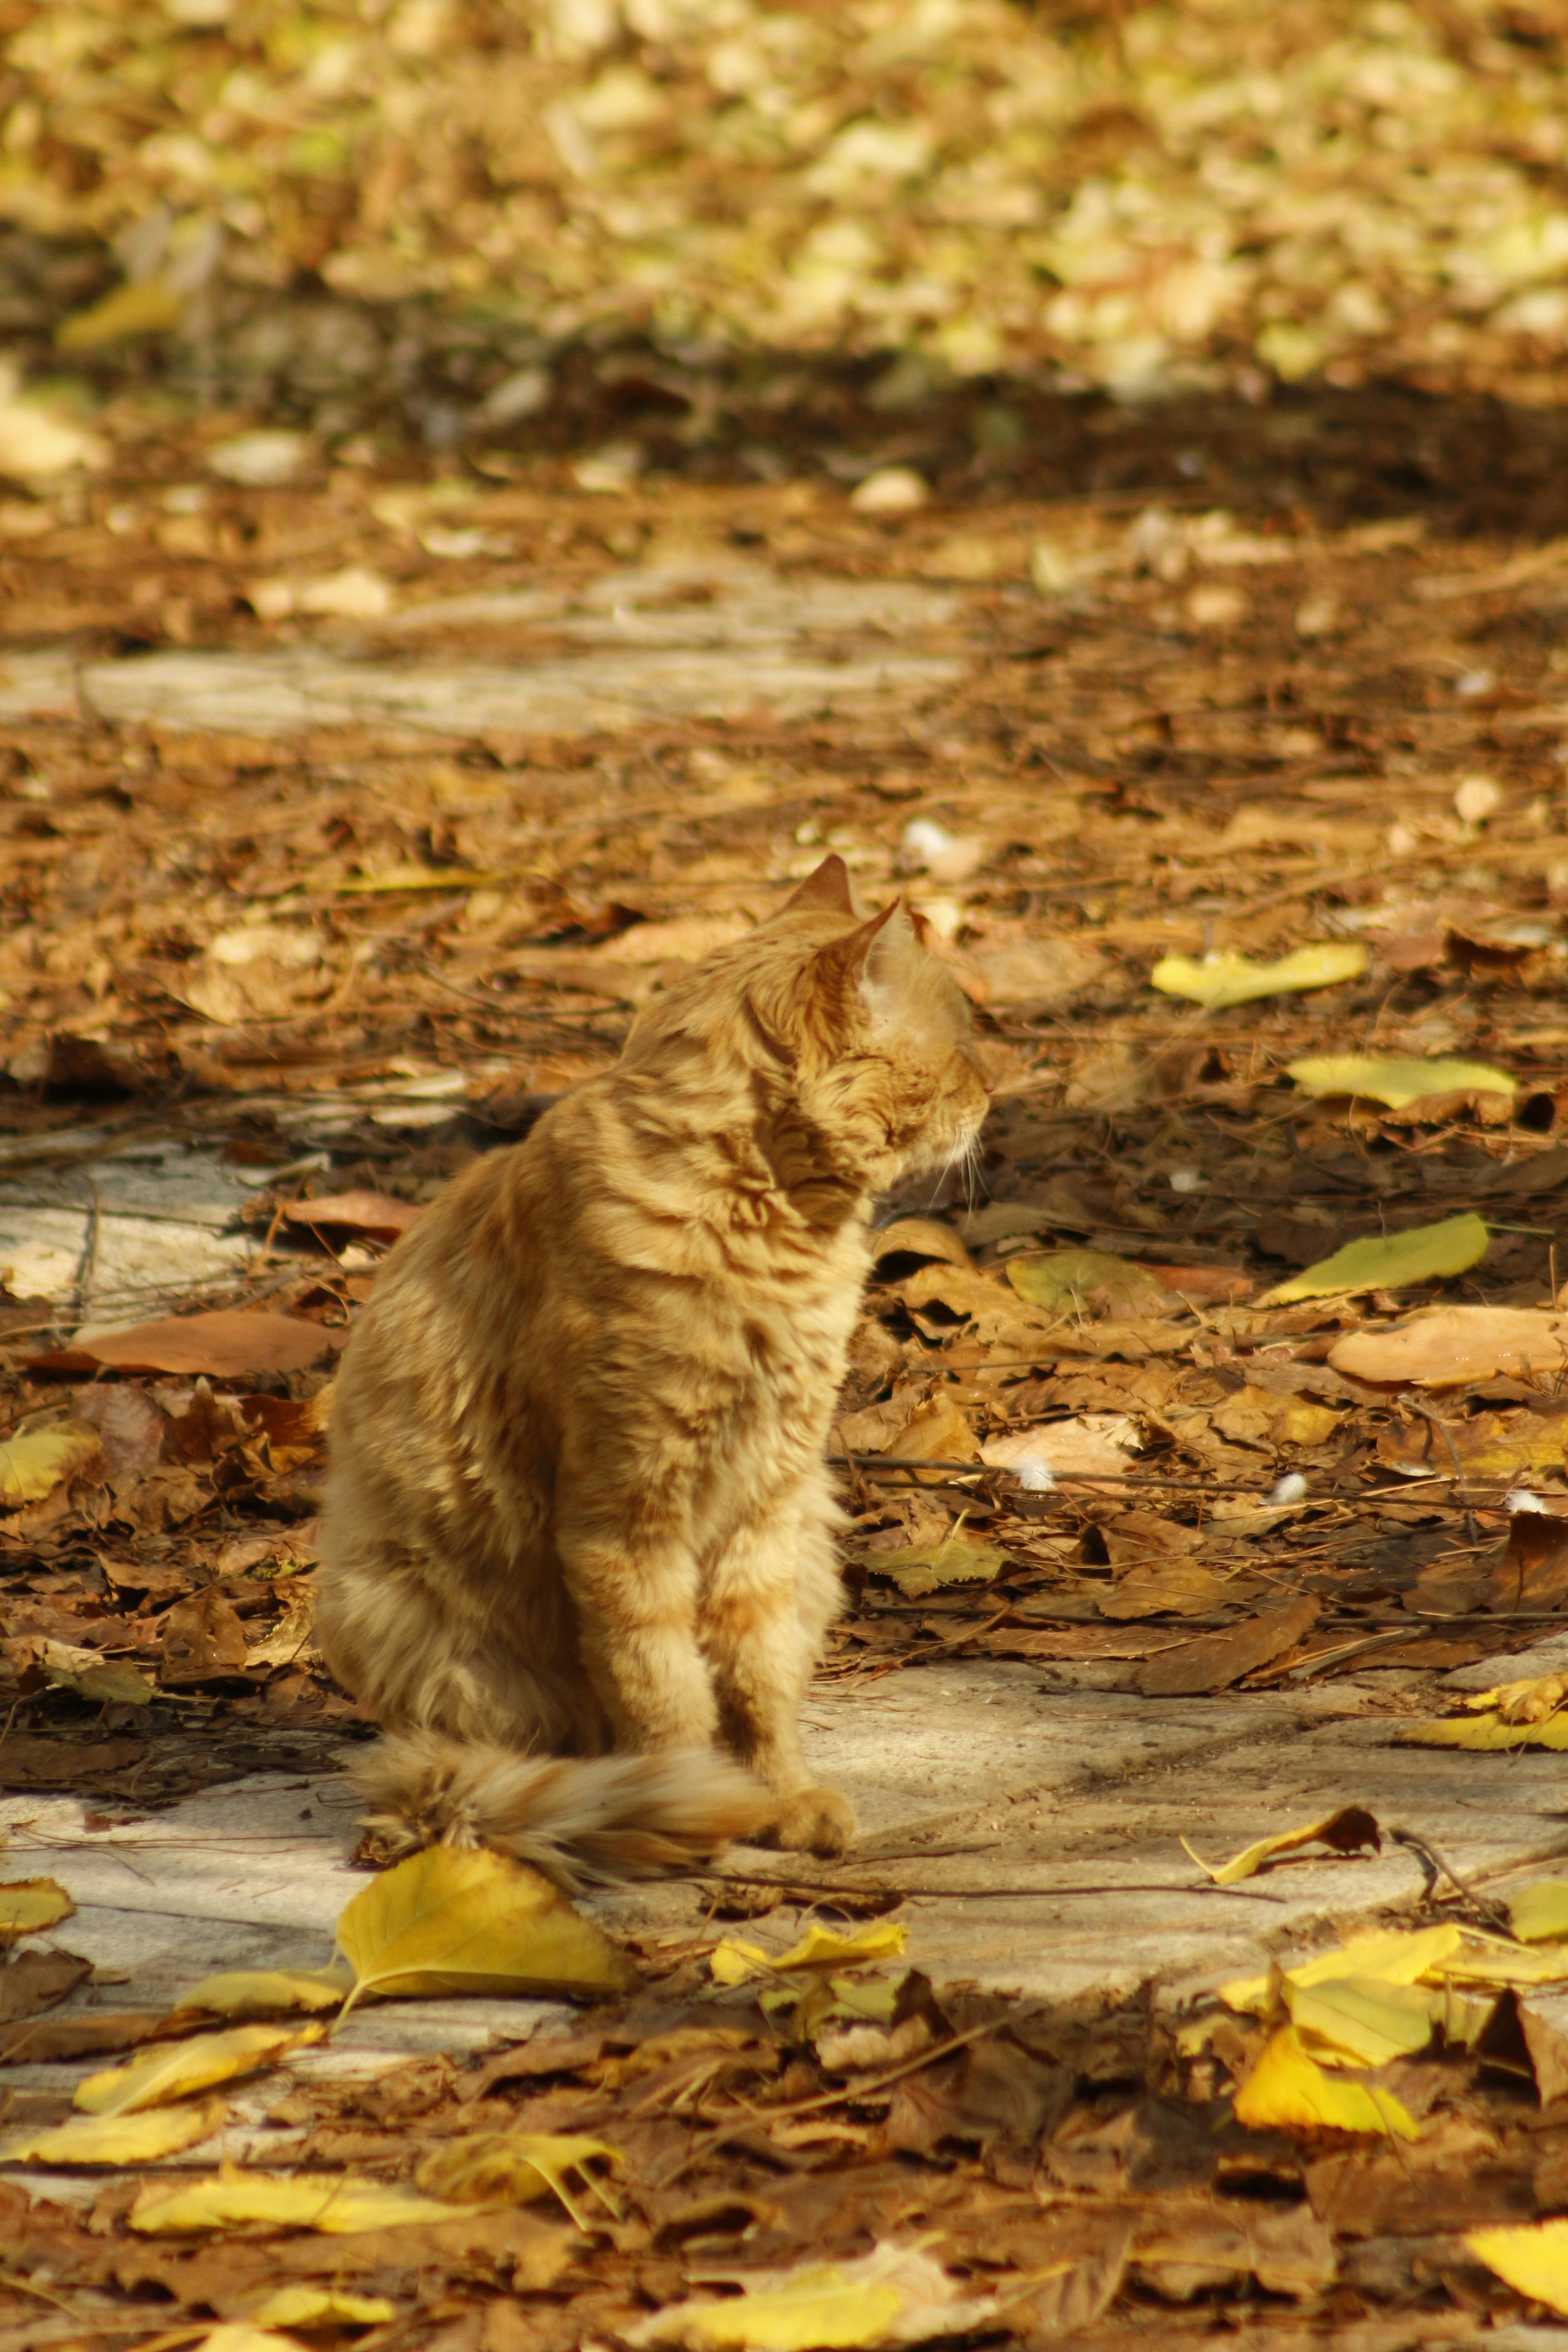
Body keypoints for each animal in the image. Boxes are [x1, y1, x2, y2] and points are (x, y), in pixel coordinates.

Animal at [313, 861, 987, 1891]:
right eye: (957, 1047)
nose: (993, 1089)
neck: (768, 1231)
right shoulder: (626, 1515)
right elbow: (666, 1693)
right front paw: (699, 1805)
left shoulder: (768, 1504)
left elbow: (757, 1686)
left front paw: (781, 1800)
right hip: (411, 1620)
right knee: (454, 1768)